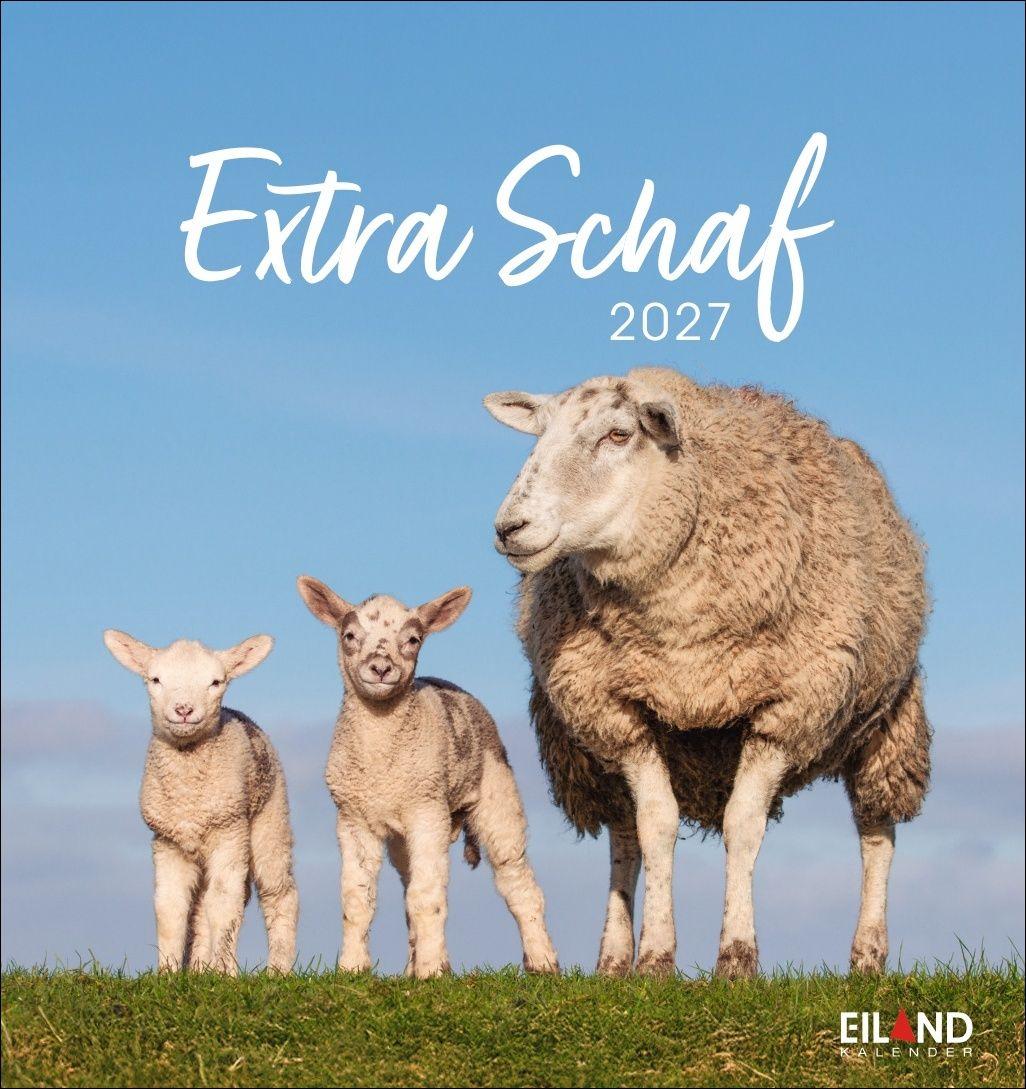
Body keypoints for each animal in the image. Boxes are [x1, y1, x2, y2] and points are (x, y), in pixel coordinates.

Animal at [102, 630, 298, 974]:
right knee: (201, 908)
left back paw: (276, 970)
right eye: (155, 679)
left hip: (271, 817)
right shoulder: (166, 841)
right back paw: (199, 969)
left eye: (216, 682)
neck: (188, 797)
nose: (183, 710)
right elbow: (169, 908)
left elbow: (225, 902)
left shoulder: (229, 830)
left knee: (278, 892)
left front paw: (225, 975)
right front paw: (167, 974)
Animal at [296, 576, 559, 979]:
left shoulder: (426, 809)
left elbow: (427, 898)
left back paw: (543, 963)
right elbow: (358, 899)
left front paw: (432, 972)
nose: (380, 667)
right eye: (349, 635)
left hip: (495, 796)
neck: (381, 763)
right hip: (406, 837)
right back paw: (415, 967)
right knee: (411, 889)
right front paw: (352, 968)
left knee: (515, 879)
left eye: (413, 640)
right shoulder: (352, 816)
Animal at [484, 366, 931, 978]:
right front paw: (655, 957)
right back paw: (613, 958)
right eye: (539, 435)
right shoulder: (620, 714)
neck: (681, 636)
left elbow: (743, 825)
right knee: (623, 835)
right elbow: (655, 826)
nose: (509, 527)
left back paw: (867, 956)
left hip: (886, 719)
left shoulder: (785, 711)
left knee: (877, 830)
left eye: (619, 434)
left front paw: (737, 958)